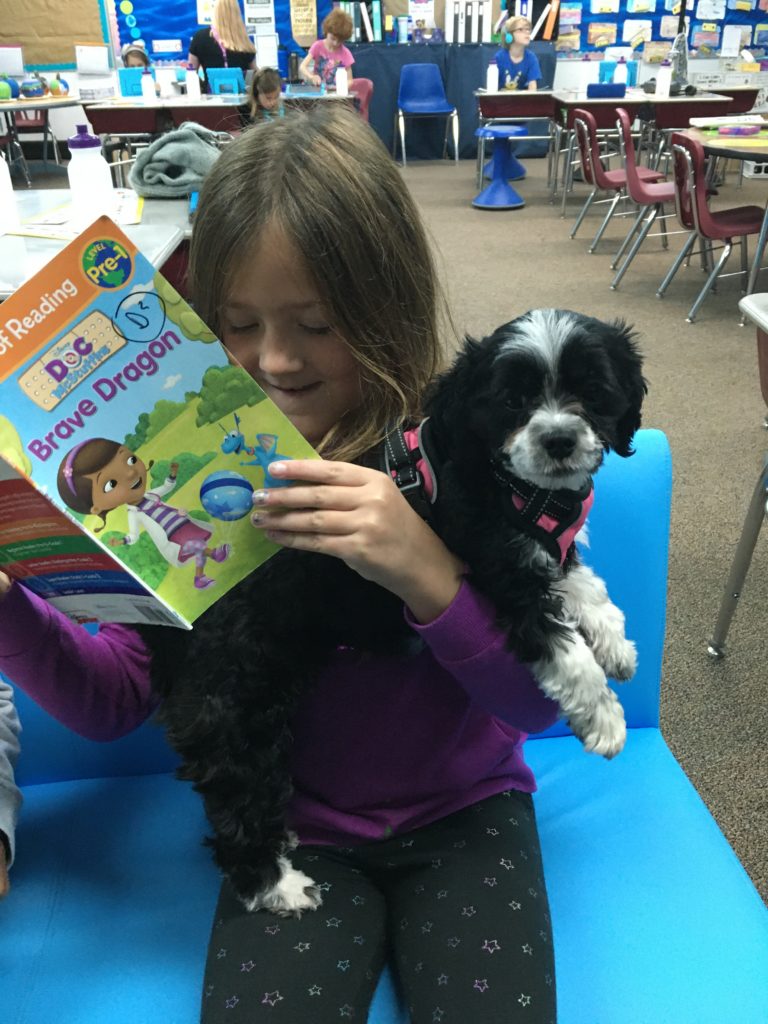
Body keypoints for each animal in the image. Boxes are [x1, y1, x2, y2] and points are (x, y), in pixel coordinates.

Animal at [140, 307, 651, 917]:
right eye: (512, 401)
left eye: (593, 391)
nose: (558, 439)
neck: (510, 483)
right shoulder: (504, 573)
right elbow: (566, 652)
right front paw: (604, 718)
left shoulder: (541, 553)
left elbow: (584, 585)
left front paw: (616, 645)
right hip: (232, 704)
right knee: (235, 801)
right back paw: (276, 884)